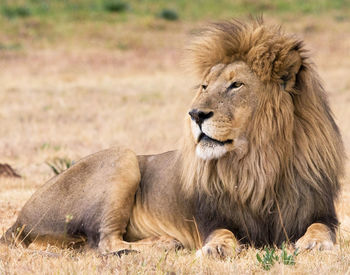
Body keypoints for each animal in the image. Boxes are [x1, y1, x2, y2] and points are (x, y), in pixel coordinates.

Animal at [0, 20, 344, 258]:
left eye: (236, 85)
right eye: (205, 86)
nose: (195, 114)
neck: (258, 165)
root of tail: (16, 222)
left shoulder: (321, 211)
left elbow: (321, 228)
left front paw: (313, 244)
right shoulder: (211, 219)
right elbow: (221, 234)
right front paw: (217, 250)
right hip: (122, 156)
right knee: (105, 243)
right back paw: (165, 241)